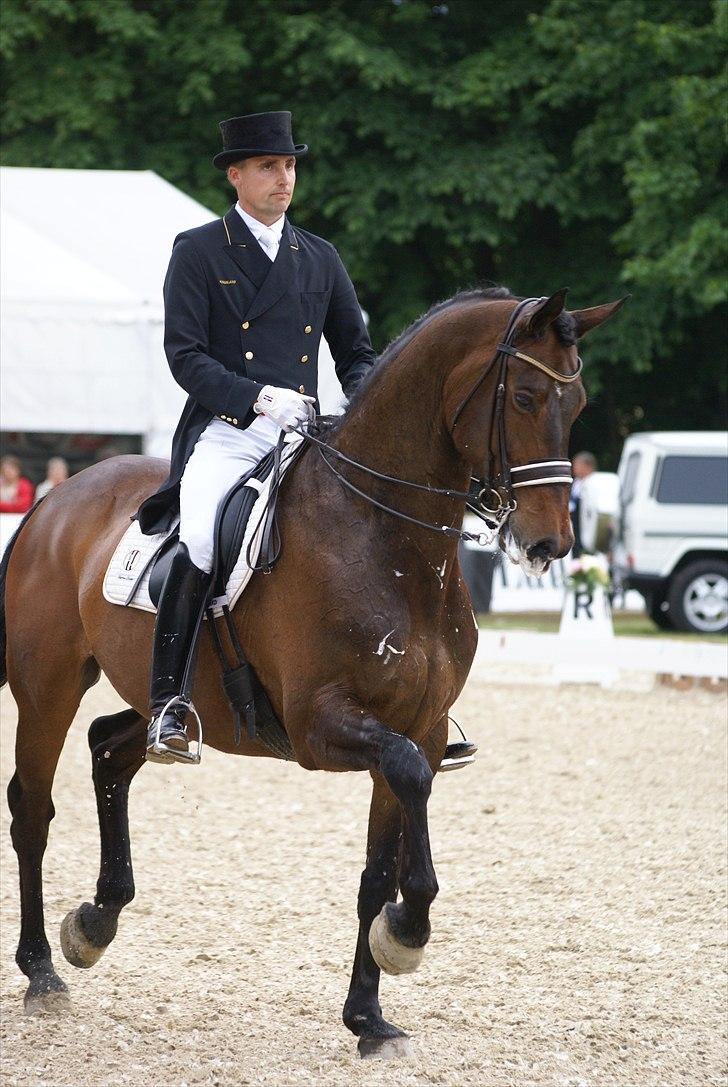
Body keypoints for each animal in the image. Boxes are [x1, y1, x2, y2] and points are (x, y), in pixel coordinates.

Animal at [1, 286, 621, 1052]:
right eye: (528, 397)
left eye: (579, 402)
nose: (548, 545)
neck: (388, 540)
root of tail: (54, 500)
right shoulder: (323, 725)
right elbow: (406, 794)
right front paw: (406, 934)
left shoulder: (418, 727)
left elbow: (377, 869)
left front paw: (369, 1016)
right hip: (48, 685)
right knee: (33, 807)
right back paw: (41, 971)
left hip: (162, 700)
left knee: (111, 750)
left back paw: (94, 921)